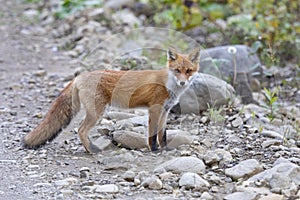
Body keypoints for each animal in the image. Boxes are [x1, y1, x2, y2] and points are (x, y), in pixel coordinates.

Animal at [23, 47, 200, 153]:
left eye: (188, 71)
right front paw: (154, 150)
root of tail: (79, 77)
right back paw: (92, 150)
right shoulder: (154, 109)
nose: (182, 82)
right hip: (97, 112)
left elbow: (162, 134)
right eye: (177, 70)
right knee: (81, 130)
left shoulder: (165, 111)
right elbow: (152, 135)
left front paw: (165, 149)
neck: (169, 85)